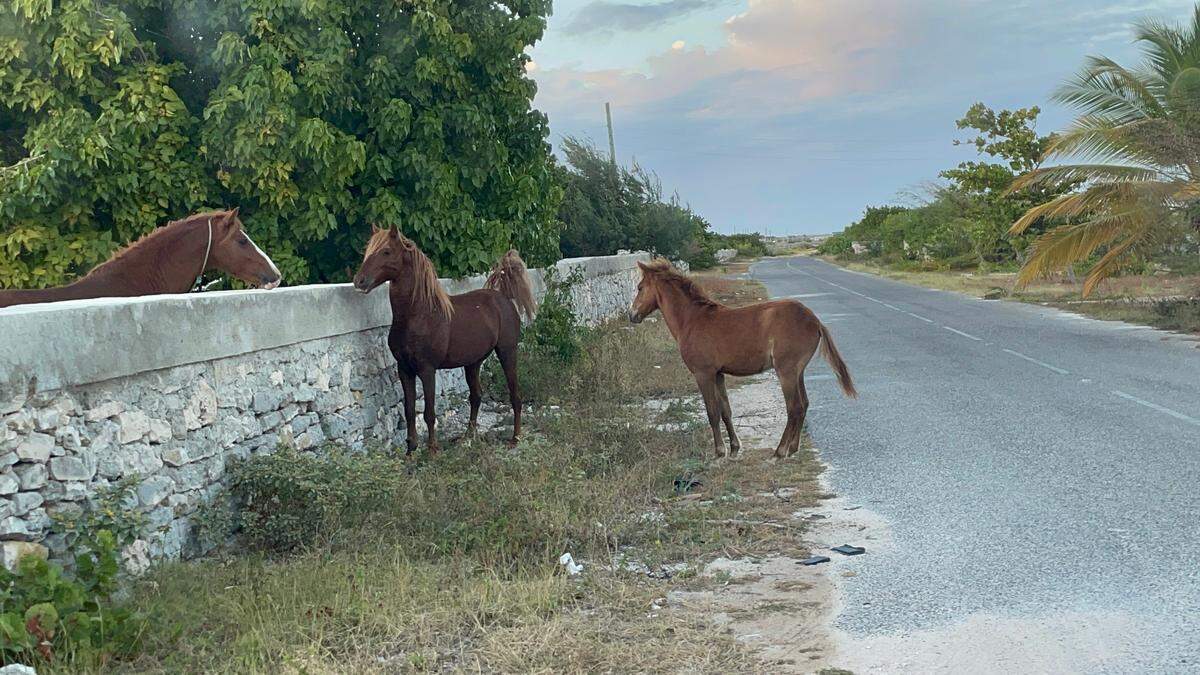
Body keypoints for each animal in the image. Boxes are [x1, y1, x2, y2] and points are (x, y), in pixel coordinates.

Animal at [352, 225, 536, 454]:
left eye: (386, 251)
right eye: (368, 251)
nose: (359, 281)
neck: (419, 314)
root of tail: (503, 298)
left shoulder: (427, 370)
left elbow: (429, 413)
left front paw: (432, 450)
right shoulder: (404, 370)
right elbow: (409, 410)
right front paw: (410, 451)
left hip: (507, 353)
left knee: (515, 396)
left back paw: (515, 438)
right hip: (473, 363)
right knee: (476, 396)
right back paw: (467, 437)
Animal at [628, 259, 856, 460]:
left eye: (640, 287)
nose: (632, 315)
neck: (692, 320)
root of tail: (814, 320)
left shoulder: (703, 374)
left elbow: (712, 412)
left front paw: (719, 452)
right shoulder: (718, 374)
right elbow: (726, 411)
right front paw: (734, 448)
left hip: (786, 371)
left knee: (794, 408)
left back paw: (779, 452)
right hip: (797, 372)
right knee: (804, 405)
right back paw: (792, 448)